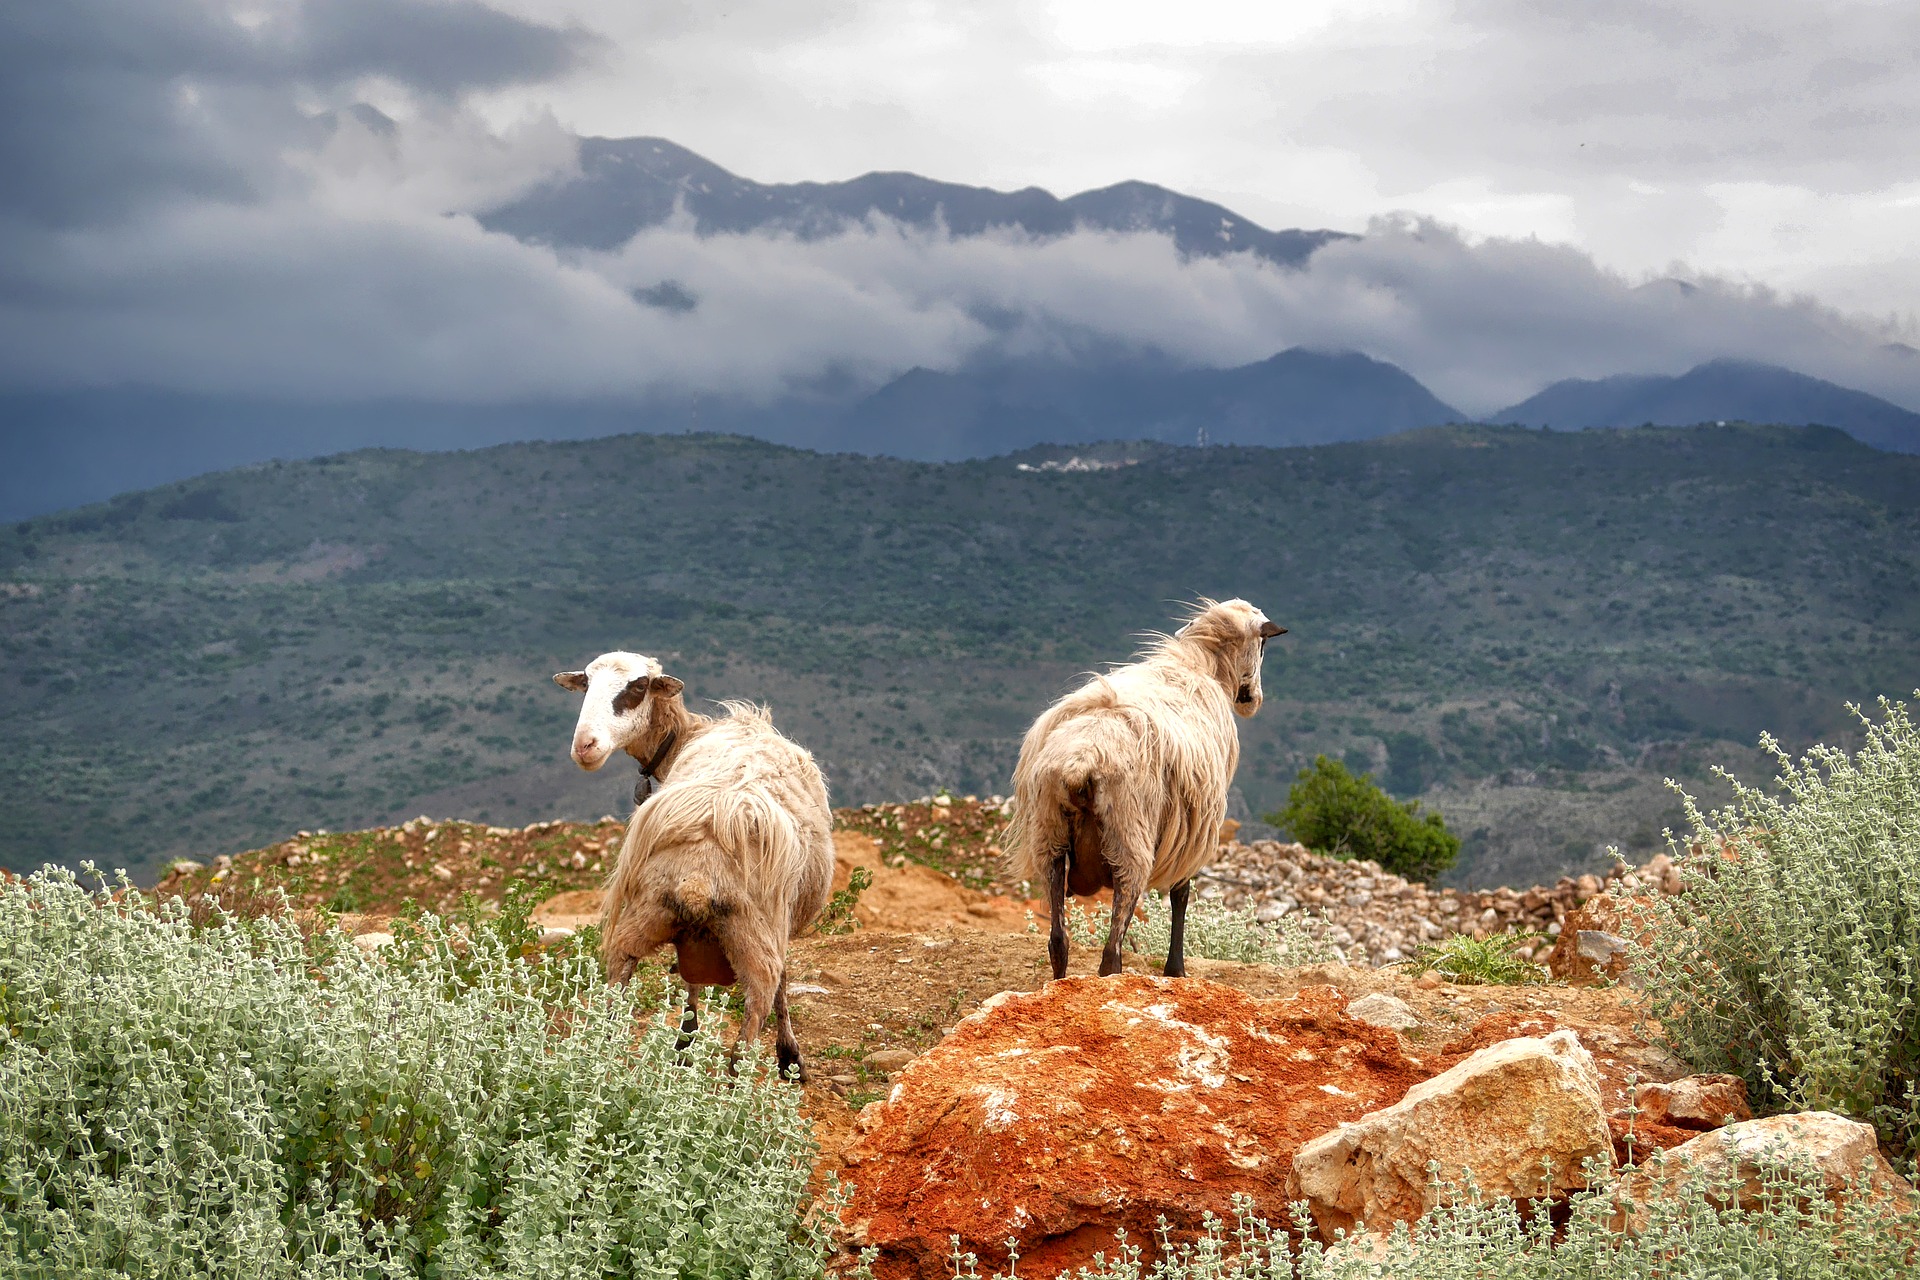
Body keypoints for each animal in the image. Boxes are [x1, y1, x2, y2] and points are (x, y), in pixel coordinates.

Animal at [549, 652, 833, 1082]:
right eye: (587, 685)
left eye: (637, 687)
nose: (585, 747)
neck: (692, 733)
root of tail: (698, 875)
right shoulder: (782, 920)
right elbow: (782, 982)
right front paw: (790, 1058)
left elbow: (691, 981)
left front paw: (685, 1044)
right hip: (756, 937)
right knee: (752, 1022)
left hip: (642, 919)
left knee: (615, 999)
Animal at [1006, 598, 1290, 982]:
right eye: (1262, 645)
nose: (1253, 700)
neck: (1200, 664)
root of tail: (1080, 761)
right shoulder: (1193, 829)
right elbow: (1181, 894)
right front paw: (1176, 969)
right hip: (1129, 839)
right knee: (1111, 952)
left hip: (1049, 837)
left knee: (1058, 941)